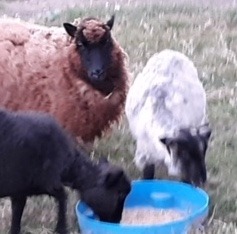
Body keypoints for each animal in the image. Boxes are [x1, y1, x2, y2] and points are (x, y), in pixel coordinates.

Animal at [125, 49, 212, 186]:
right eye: (184, 154)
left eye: (204, 151)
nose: (201, 181)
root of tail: (171, 52)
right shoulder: (146, 156)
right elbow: (148, 176)